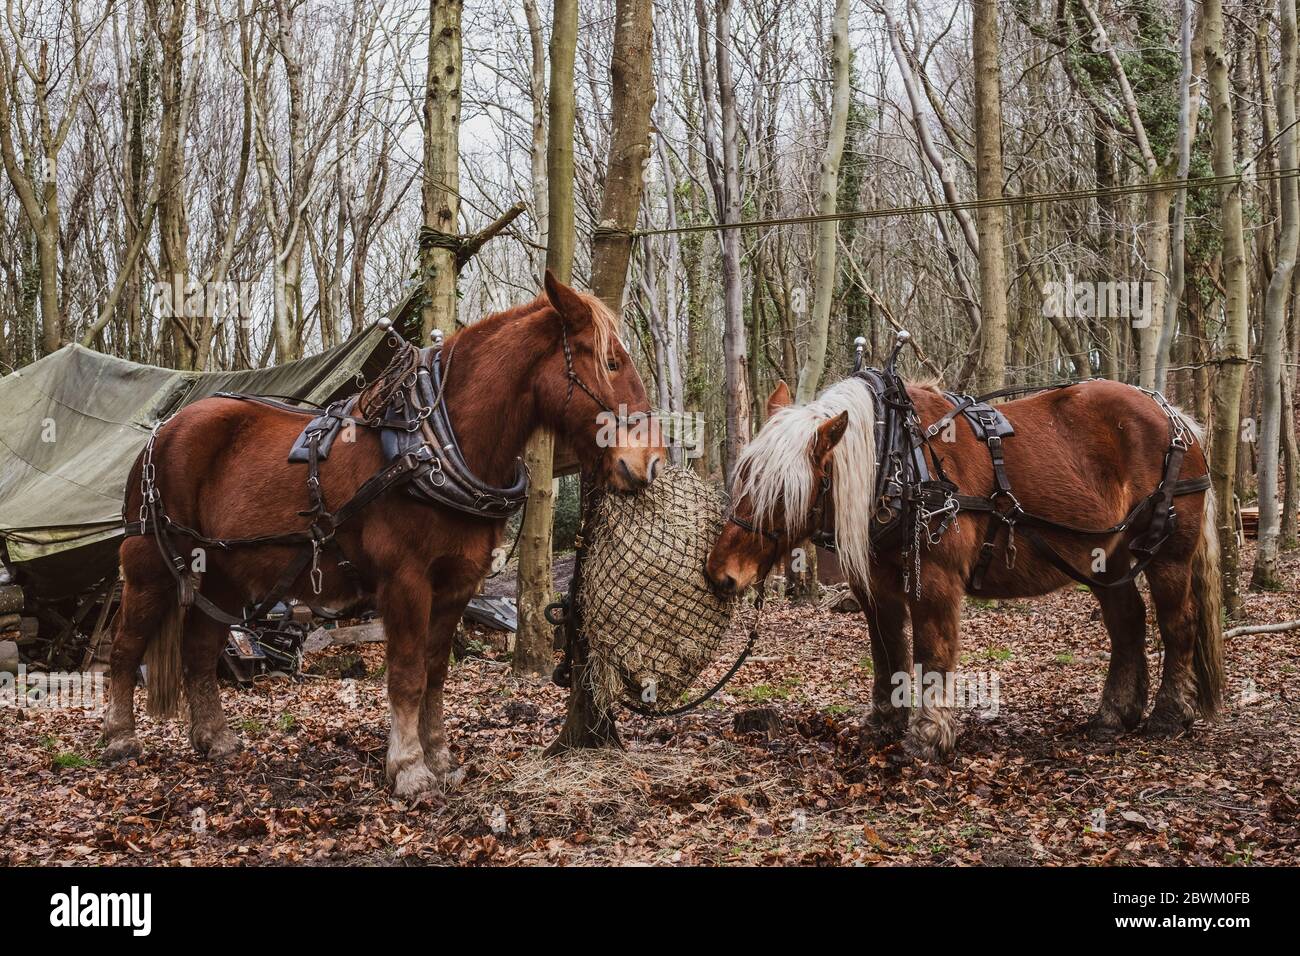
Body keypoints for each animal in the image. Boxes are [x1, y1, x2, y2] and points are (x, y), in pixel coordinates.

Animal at [105, 273, 665, 796]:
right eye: (611, 362)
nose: (650, 461)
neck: (435, 444)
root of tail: (164, 430)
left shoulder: (457, 586)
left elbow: (436, 674)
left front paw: (440, 758)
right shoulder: (406, 581)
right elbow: (408, 675)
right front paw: (409, 768)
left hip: (222, 573)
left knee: (200, 650)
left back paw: (214, 739)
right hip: (150, 565)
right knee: (125, 648)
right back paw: (120, 739)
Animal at [707, 374, 1222, 764]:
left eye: (780, 493)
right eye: (743, 477)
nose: (720, 575)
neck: (898, 461)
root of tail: (1175, 417)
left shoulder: (935, 581)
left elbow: (931, 652)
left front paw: (927, 736)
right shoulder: (877, 587)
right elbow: (888, 652)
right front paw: (884, 722)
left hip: (1169, 554)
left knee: (1178, 623)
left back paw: (1169, 716)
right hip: (1103, 556)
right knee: (1127, 622)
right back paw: (1115, 715)